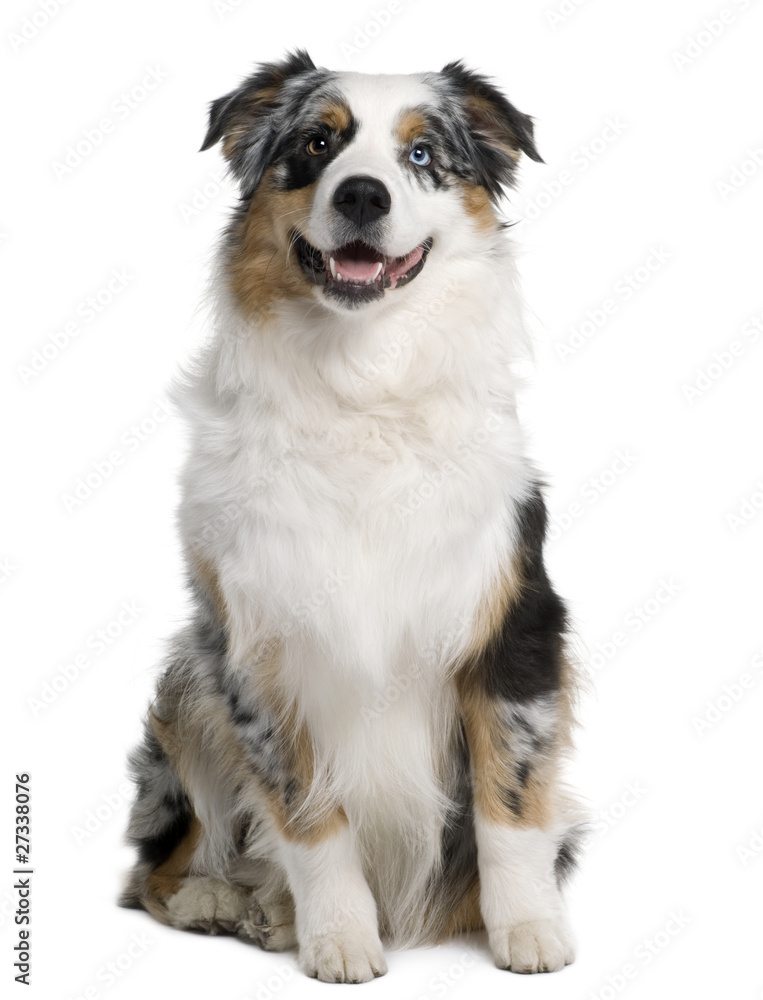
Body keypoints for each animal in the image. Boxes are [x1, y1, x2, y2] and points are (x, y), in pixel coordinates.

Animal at [119, 50, 584, 980]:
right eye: (315, 142)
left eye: (421, 155)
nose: (363, 195)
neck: (362, 382)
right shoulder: (254, 653)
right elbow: (307, 818)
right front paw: (338, 937)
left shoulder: (513, 625)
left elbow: (509, 800)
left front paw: (527, 929)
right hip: (188, 684)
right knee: (156, 866)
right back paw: (228, 902)